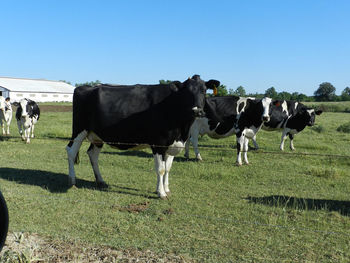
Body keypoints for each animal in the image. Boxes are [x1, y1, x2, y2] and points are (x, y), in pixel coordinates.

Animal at [66, 75, 220, 199]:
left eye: (204, 90)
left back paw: (101, 181)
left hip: (97, 136)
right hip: (79, 129)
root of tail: (85, 87)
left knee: (93, 154)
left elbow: (168, 168)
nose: (197, 110)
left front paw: (166, 189)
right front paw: (161, 193)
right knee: (71, 151)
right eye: (186, 92)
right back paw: (72, 181)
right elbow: (160, 169)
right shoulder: (159, 143)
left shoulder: (172, 144)